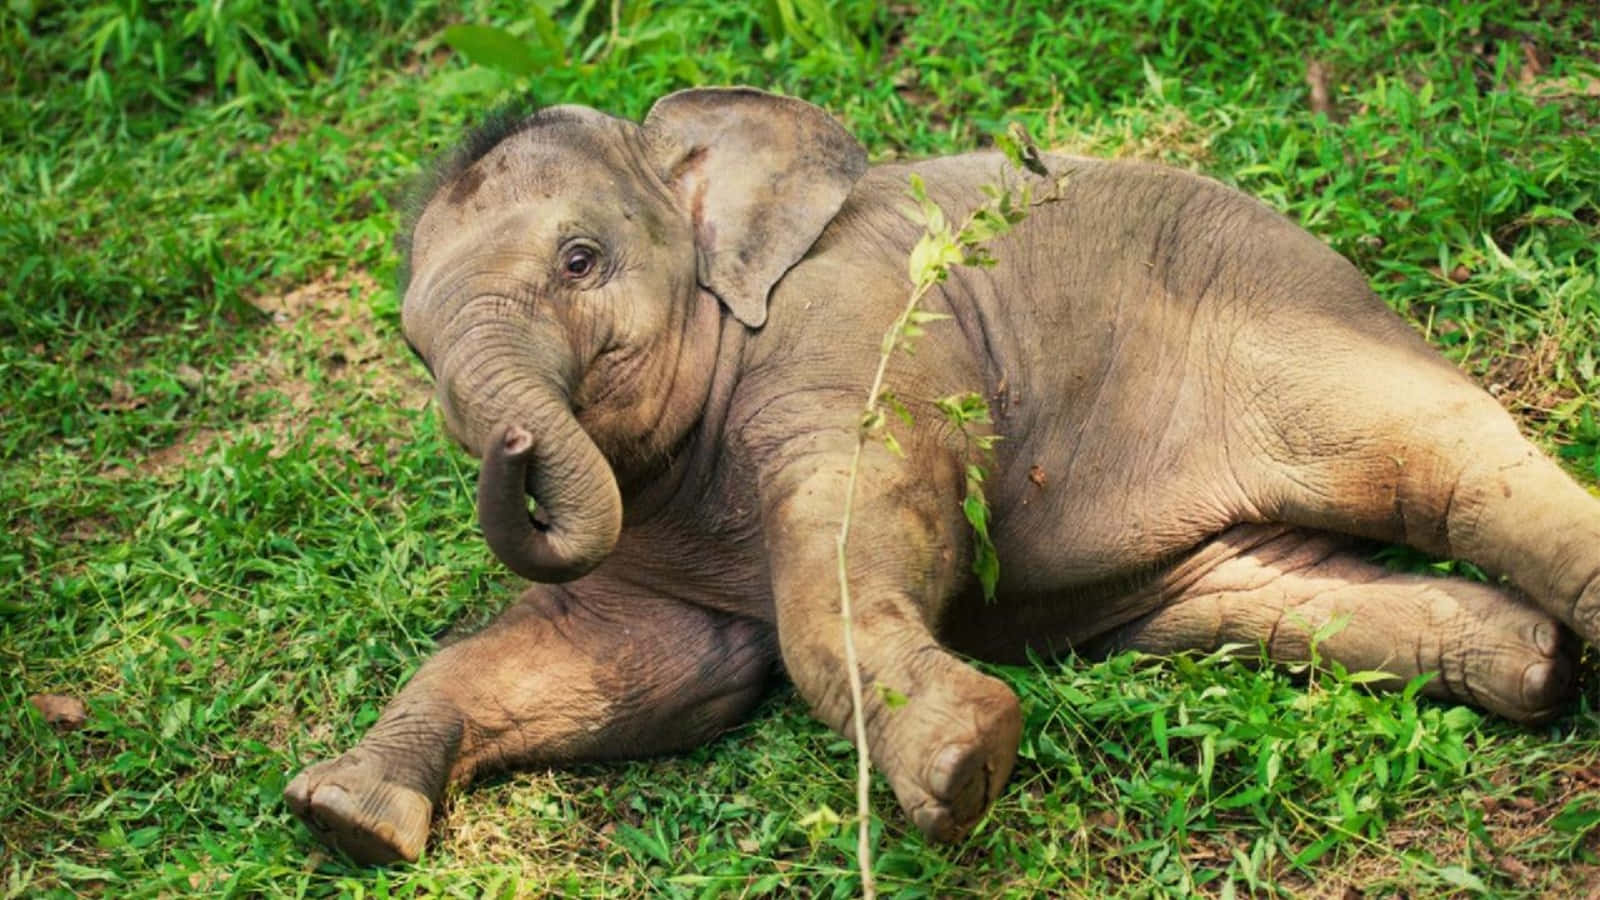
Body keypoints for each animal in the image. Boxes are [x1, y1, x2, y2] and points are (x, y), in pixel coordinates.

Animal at [285, 87, 1600, 865]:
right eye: (414, 349)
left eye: (579, 260)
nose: (510, 450)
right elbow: (651, 666)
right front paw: (343, 818)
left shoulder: (848, 336)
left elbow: (858, 549)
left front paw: (964, 772)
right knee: (1270, 596)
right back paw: (1534, 668)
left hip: (1288, 325)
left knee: (1438, 462)